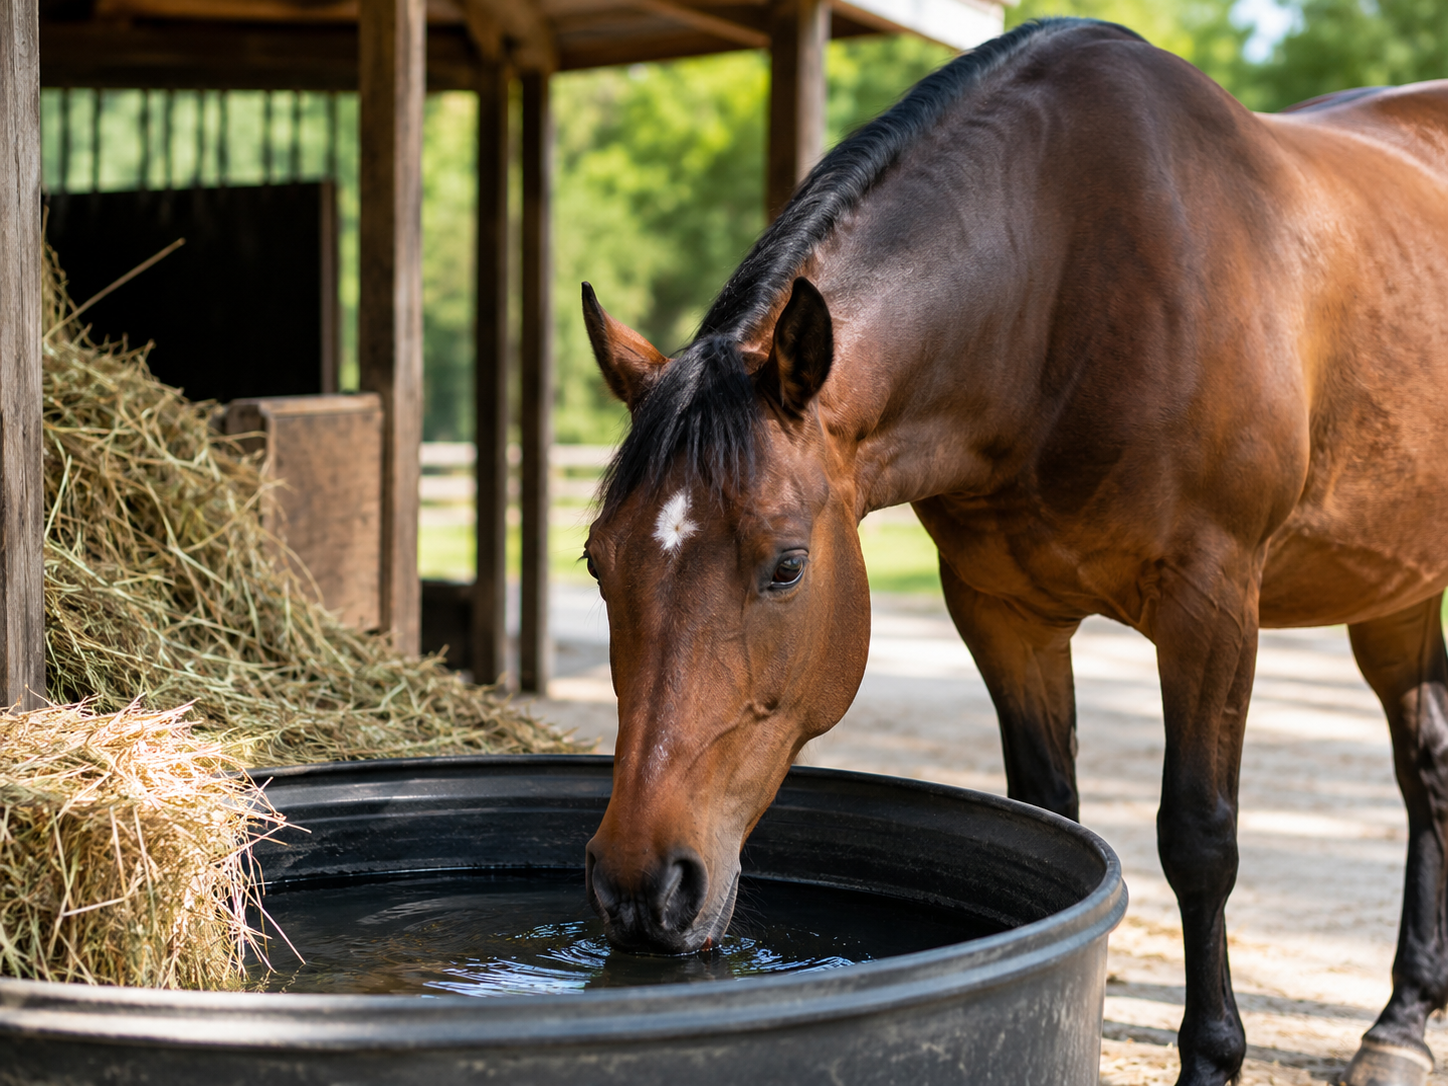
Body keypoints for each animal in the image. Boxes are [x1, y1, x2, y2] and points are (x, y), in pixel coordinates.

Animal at [577, 18, 1448, 1086]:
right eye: (598, 563)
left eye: (785, 565)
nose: (640, 886)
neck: (1062, 286)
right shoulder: (1004, 613)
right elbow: (1050, 814)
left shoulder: (1210, 608)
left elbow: (1199, 838)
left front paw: (1211, 1055)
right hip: (1395, 591)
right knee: (1426, 769)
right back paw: (1403, 1019)